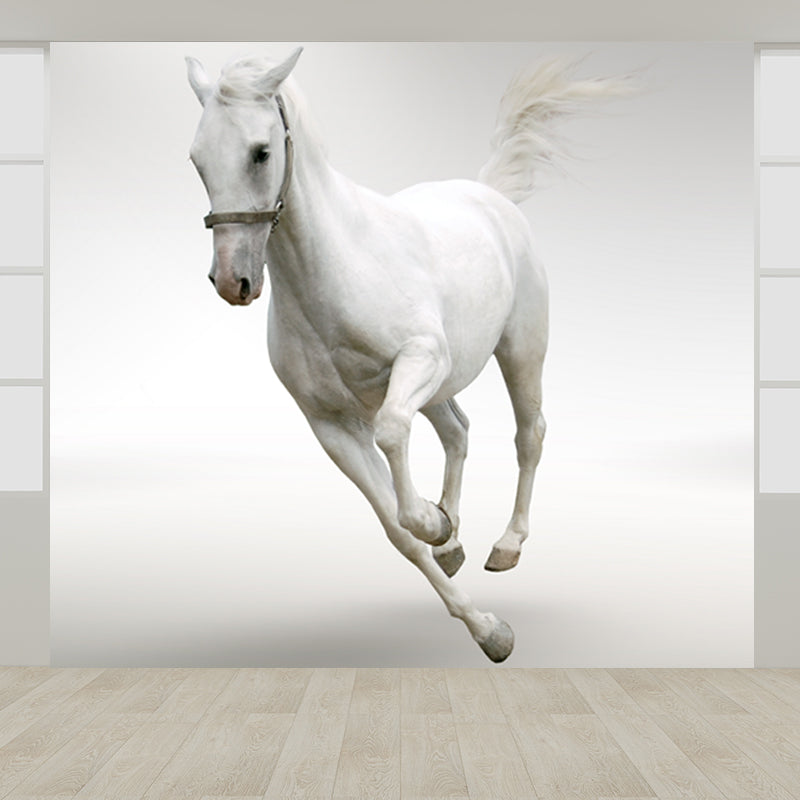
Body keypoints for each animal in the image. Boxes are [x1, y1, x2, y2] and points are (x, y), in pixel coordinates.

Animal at [186, 48, 627, 661]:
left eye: (261, 152)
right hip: (443, 385)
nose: (233, 282)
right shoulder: (330, 424)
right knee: (459, 431)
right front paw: (485, 622)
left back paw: (506, 544)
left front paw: (437, 528)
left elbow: (394, 435)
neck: (336, 270)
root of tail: (488, 194)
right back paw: (454, 539)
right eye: (197, 159)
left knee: (529, 435)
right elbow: (397, 530)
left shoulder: (419, 361)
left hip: (519, 350)